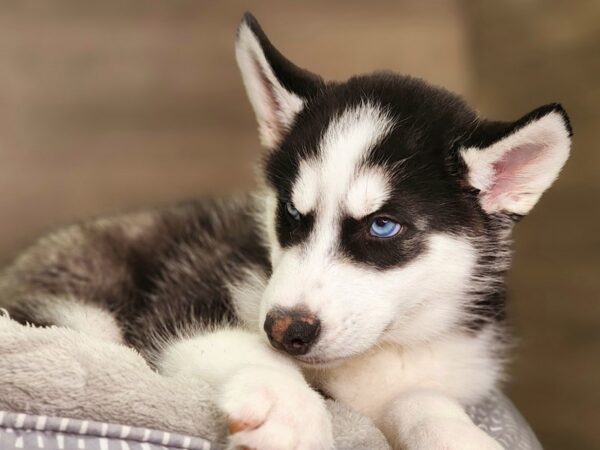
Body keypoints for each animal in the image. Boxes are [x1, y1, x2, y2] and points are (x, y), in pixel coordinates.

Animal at [0, 13, 572, 450]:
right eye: (292, 216)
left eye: (383, 226)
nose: (284, 329)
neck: (378, 351)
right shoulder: (184, 298)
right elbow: (237, 343)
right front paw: (288, 406)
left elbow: (422, 399)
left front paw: (459, 435)